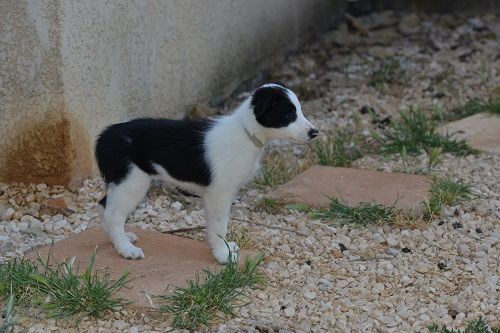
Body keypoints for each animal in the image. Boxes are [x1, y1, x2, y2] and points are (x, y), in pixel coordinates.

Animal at [95, 82, 318, 262]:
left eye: (299, 110)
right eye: (288, 114)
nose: (314, 132)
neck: (245, 132)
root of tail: (105, 136)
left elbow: (213, 226)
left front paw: (223, 248)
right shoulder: (220, 194)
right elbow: (220, 226)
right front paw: (222, 255)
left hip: (122, 182)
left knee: (105, 206)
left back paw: (121, 239)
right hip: (132, 182)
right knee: (114, 215)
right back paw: (126, 249)